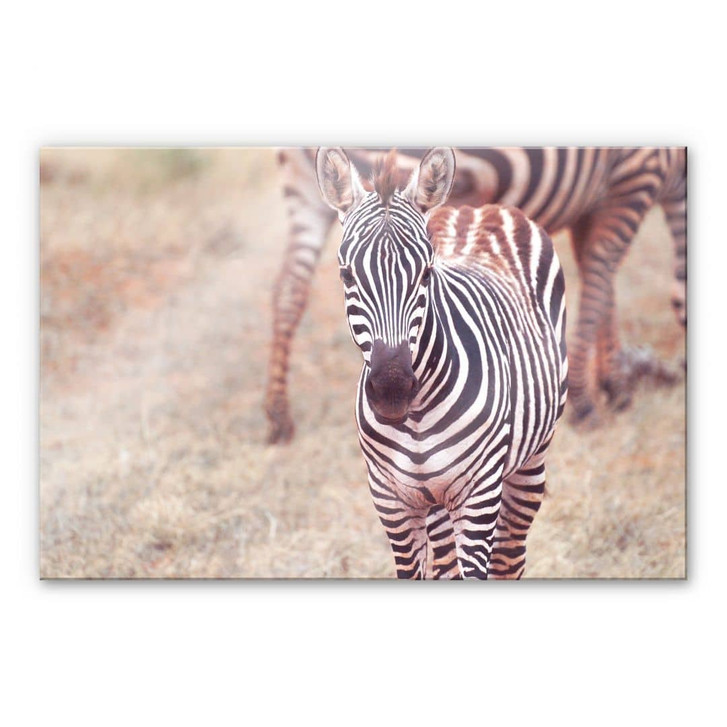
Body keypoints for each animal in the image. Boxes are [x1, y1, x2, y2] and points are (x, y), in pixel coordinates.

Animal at [266, 146, 685, 444]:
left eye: (427, 272)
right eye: (346, 274)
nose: (391, 390)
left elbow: (598, 277)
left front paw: (614, 382)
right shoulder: (635, 177)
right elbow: (601, 275)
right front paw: (591, 399)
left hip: (304, 191)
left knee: (288, 291)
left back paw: (278, 417)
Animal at [315, 147, 568, 579]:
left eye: (427, 273)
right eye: (346, 276)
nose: (392, 389)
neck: (416, 415)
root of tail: (477, 208)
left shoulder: (479, 493)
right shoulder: (392, 500)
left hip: (531, 459)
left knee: (510, 556)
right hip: (435, 503)